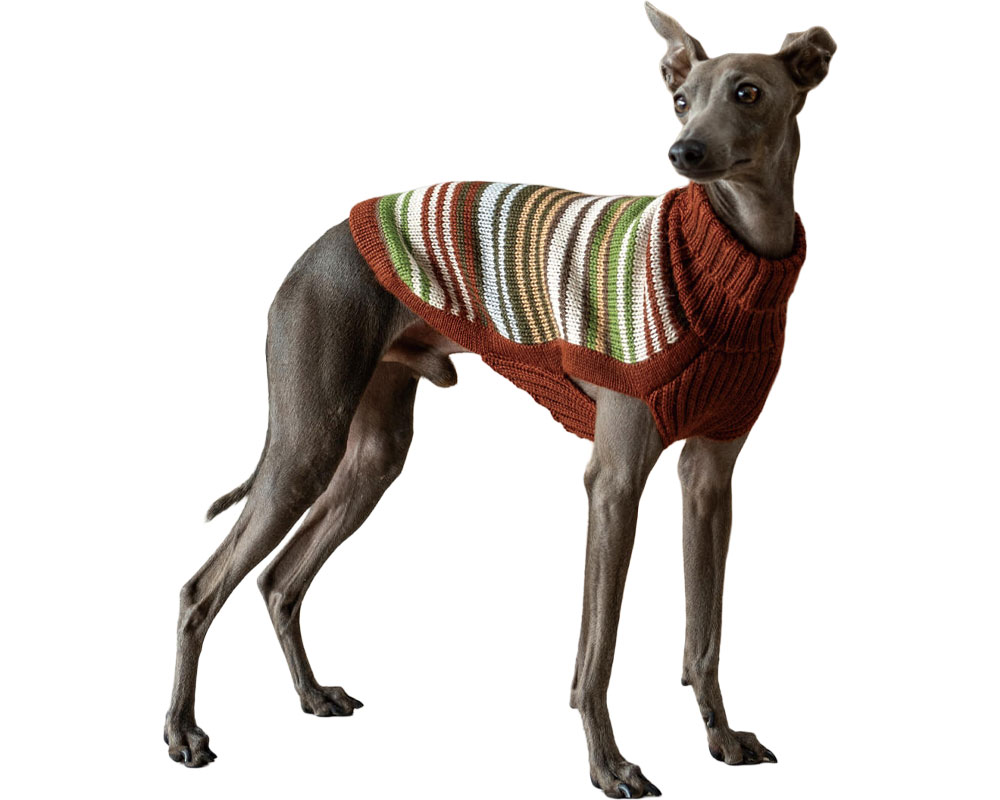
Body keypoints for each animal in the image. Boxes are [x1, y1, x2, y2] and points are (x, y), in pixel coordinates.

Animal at [164, 5, 835, 797]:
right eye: (680, 99)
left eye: (748, 92)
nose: (685, 151)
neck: (732, 260)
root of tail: (313, 252)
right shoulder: (613, 482)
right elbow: (596, 652)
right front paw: (609, 765)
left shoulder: (709, 479)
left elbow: (705, 635)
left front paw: (721, 739)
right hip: (305, 446)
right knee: (201, 589)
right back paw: (183, 733)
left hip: (370, 457)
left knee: (278, 580)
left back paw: (312, 694)